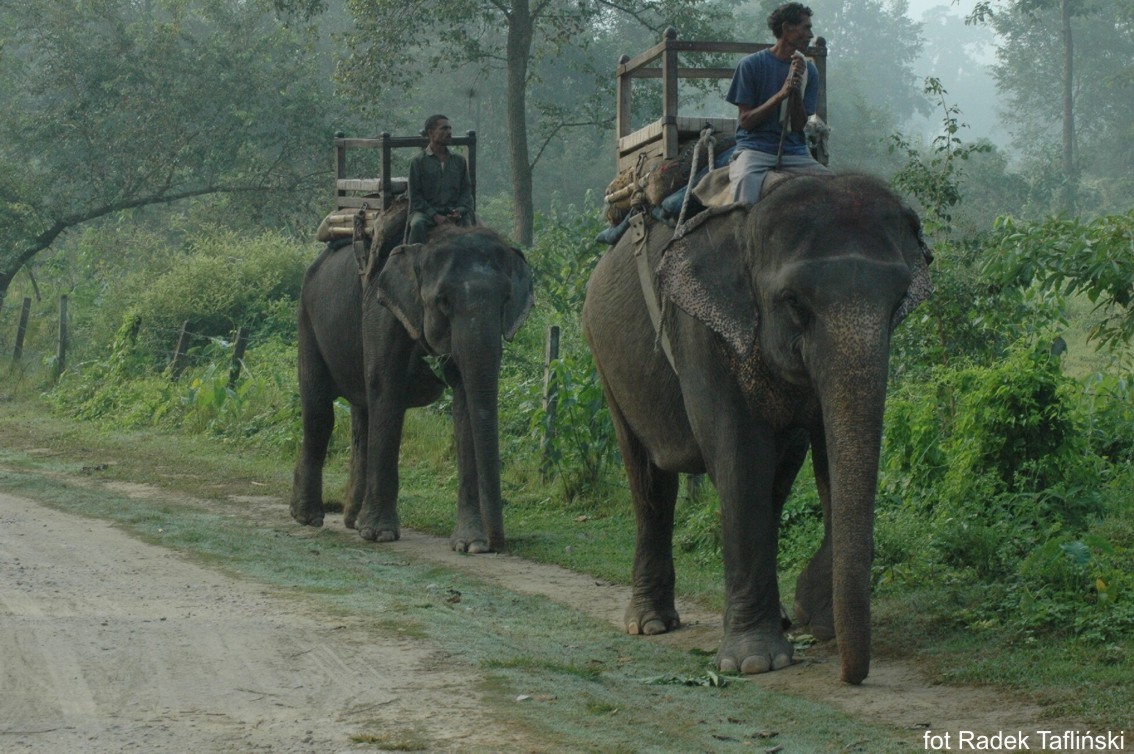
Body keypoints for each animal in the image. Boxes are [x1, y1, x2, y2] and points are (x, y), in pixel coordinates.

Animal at [290, 223, 532, 553]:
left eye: (506, 298)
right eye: (442, 300)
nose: (497, 544)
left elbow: (465, 405)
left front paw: (470, 544)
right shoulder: (384, 313)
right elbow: (386, 390)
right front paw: (379, 534)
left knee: (361, 416)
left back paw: (353, 519)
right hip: (307, 318)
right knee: (319, 412)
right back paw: (308, 517)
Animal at [585, 170, 929, 680]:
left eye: (899, 300)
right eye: (793, 302)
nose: (853, 676)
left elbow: (826, 459)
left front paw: (813, 618)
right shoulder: (699, 329)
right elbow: (740, 458)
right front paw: (753, 661)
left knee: (778, 482)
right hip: (604, 357)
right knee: (648, 480)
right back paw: (650, 624)